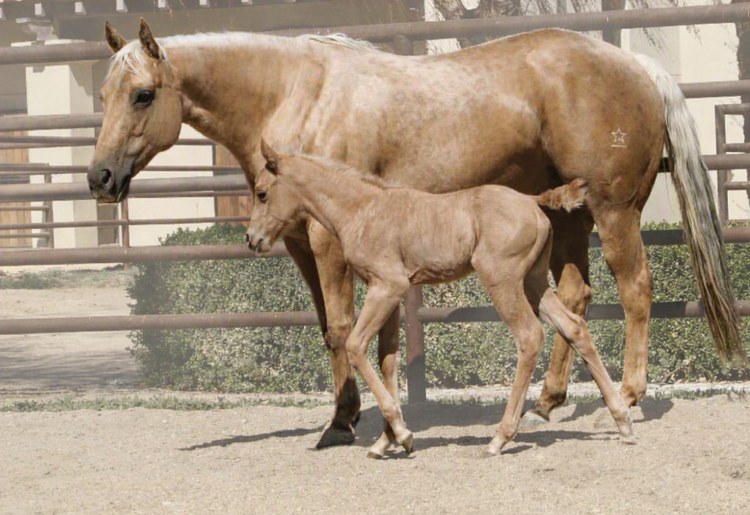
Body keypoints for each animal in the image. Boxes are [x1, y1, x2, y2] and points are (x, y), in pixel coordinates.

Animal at [246, 140, 635, 458]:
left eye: (262, 193)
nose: (252, 239)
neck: (363, 209)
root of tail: (530, 200)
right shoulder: (388, 292)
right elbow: (388, 359)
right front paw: (386, 440)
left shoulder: (387, 286)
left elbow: (356, 346)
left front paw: (402, 434)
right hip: (534, 281)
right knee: (574, 327)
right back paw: (622, 422)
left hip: (503, 281)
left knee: (529, 336)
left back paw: (500, 437)